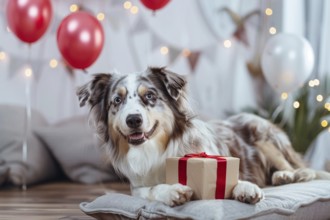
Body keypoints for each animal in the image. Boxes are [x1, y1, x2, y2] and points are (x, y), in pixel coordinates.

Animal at [76, 67, 330, 206]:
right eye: (117, 101)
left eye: (150, 96)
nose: (133, 120)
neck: (156, 148)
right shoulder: (136, 186)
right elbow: (151, 190)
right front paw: (171, 191)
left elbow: (233, 180)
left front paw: (246, 188)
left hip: (263, 135)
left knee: (299, 168)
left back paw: (285, 176)